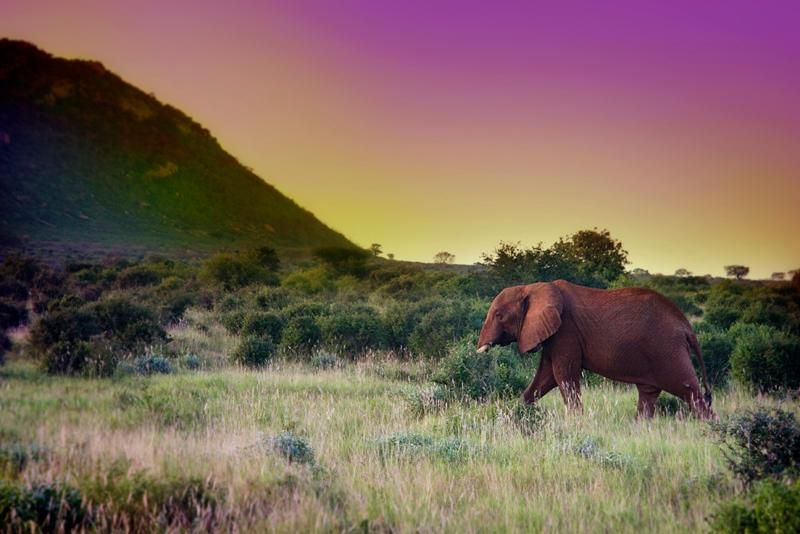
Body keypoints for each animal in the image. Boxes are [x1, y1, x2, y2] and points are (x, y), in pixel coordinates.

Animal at [478, 280, 716, 418]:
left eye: (499, 315)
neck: (533, 287)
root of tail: (687, 327)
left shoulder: (566, 330)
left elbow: (564, 375)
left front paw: (576, 422)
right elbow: (546, 377)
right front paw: (515, 412)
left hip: (668, 351)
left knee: (691, 393)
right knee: (648, 395)